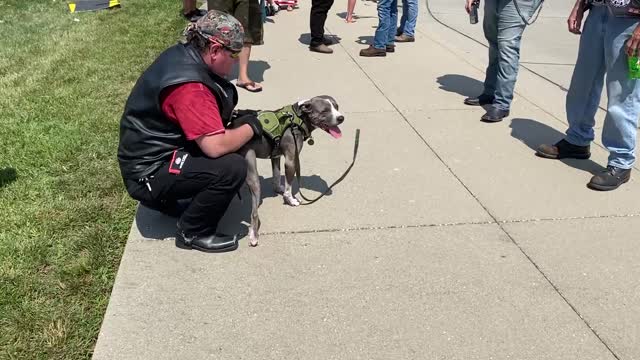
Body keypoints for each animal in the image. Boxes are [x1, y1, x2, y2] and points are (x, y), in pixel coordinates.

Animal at [235, 95, 344, 248]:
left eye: (337, 107)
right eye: (325, 111)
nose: (341, 118)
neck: (298, 118)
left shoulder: (275, 156)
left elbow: (276, 176)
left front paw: (278, 189)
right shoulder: (291, 160)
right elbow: (289, 185)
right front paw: (290, 199)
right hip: (252, 172)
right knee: (254, 213)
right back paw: (254, 236)